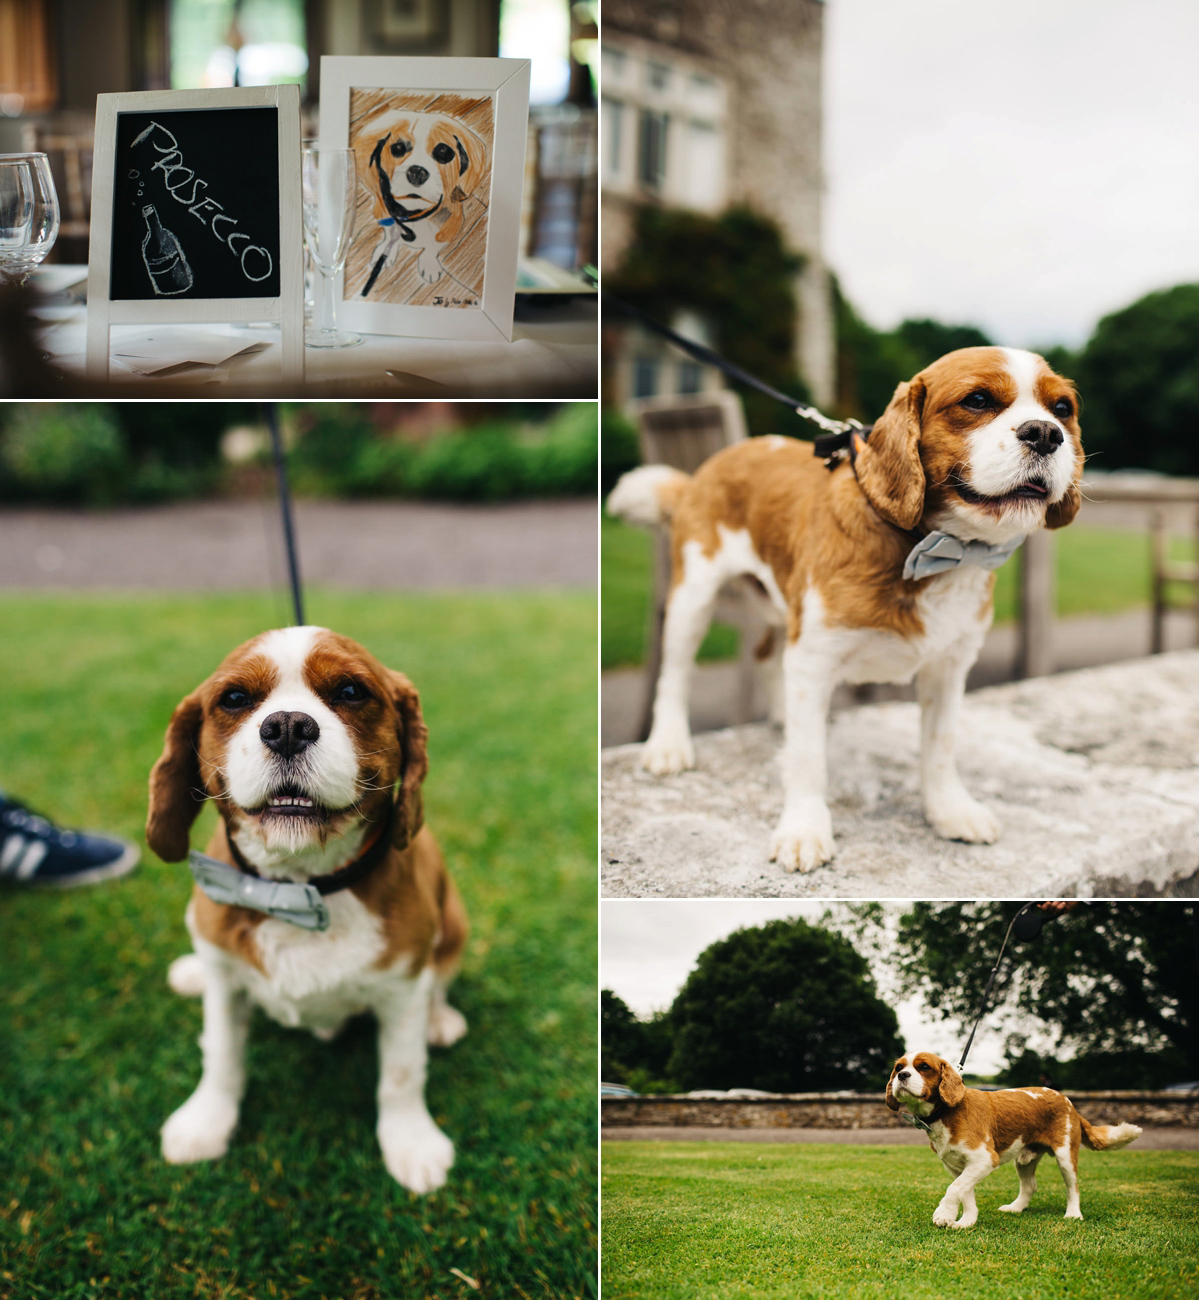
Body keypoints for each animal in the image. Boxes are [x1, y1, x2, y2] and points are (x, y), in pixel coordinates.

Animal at [144, 624, 468, 1190]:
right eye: (234, 698)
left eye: (351, 692)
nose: (288, 727)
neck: (298, 886)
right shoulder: (225, 982)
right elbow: (222, 1055)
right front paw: (205, 1122)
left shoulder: (404, 985)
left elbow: (402, 1074)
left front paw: (411, 1143)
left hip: (455, 922)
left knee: (442, 975)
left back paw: (441, 1018)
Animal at [608, 345, 1081, 873]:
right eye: (977, 400)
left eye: (1062, 409)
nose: (1046, 433)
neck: (931, 547)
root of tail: (717, 461)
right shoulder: (814, 657)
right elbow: (808, 759)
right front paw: (804, 828)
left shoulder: (947, 667)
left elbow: (940, 747)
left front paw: (949, 809)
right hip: (693, 598)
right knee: (675, 674)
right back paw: (669, 744)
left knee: (766, 656)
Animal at [889, 1050, 1139, 1222]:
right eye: (898, 1066)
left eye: (924, 1067)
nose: (902, 1075)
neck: (947, 1111)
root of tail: (1067, 1100)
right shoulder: (957, 1166)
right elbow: (964, 1191)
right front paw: (965, 1222)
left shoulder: (984, 1159)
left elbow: (954, 1189)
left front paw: (944, 1214)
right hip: (1025, 1158)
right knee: (1030, 1186)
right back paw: (1016, 1208)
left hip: (1065, 1154)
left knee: (1073, 1187)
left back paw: (1073, 1214)